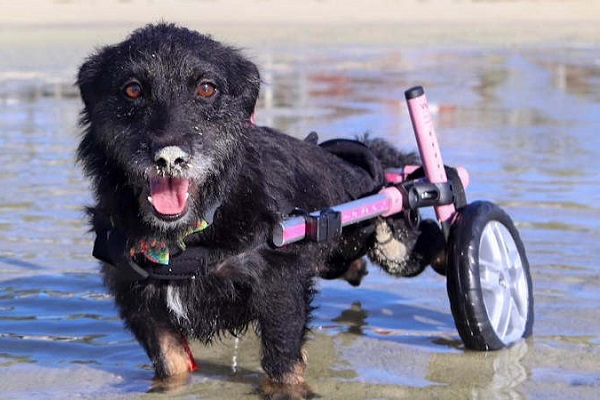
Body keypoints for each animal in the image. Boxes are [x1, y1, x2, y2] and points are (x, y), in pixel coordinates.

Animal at [77, 23, 438, 398]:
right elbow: (171, 363)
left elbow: (282, 360)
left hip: (399, 247)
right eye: (132, 89)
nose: (169, 157)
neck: (194, 231)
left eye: (206, 87)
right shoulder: (139, 302)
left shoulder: (279, 284)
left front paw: (286, 390)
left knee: (426, 239)